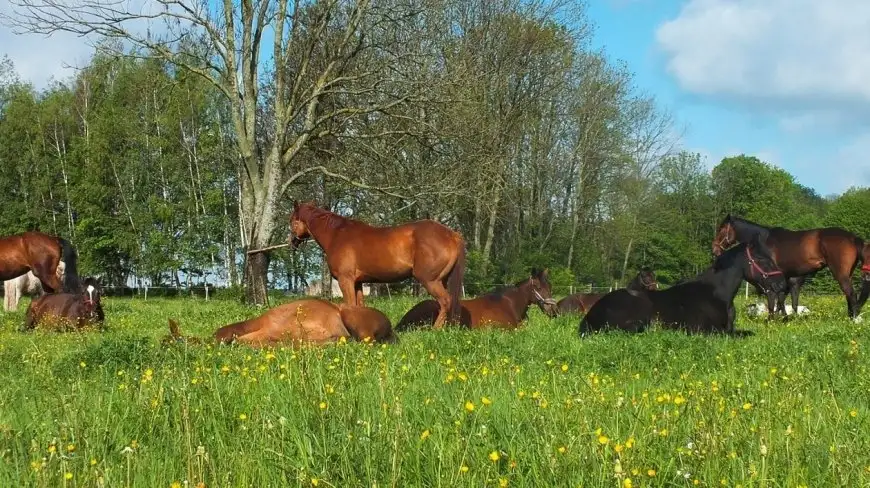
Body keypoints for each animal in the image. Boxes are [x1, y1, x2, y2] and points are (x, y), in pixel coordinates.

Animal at [290, 200, 466, 330]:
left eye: (292, 222)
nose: (292, 243)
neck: (337, 235)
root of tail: (452, 235)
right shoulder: (357, 283)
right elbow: (359, 306)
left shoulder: (345, 280)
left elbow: (349, 305)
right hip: (442, 280)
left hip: (430, 280)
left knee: (445, 301)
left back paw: (436, 329)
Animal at [712, 215, 868, 318]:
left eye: (722, 229)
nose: (715, 249)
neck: (763, 241)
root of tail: (853, 238)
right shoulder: (786, 276)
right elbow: (784, 299)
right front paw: (784, 317)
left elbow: (777, 298)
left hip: (840, 273)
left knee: (851, 293)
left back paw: (854, 319)